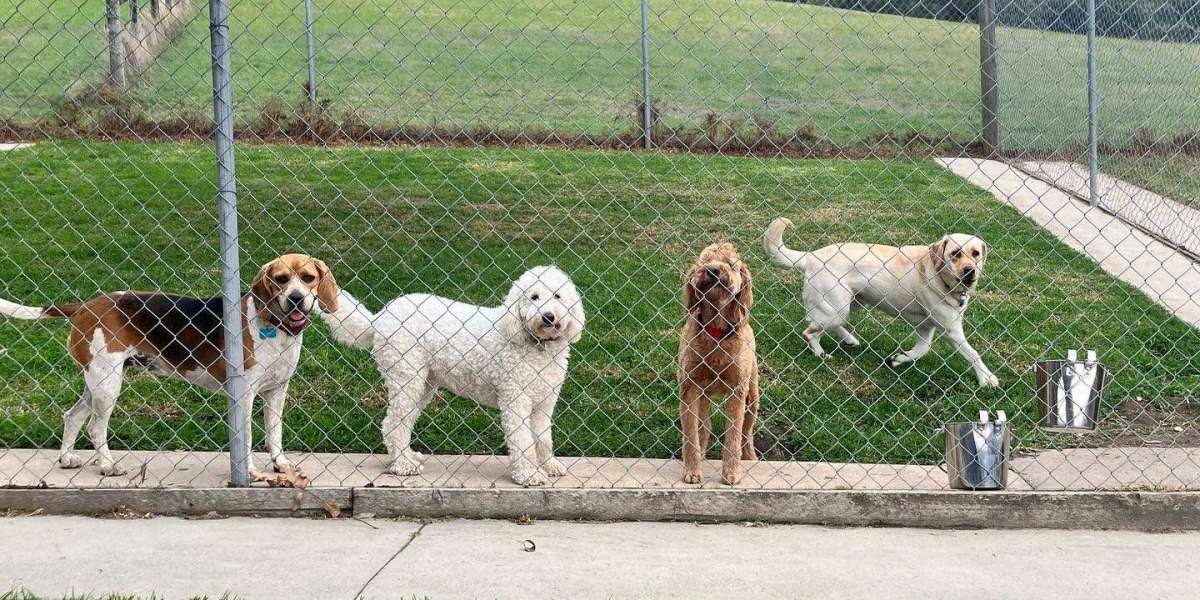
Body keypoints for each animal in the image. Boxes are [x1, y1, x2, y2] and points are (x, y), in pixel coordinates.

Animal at [316, 267, 583, 487]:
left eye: (557, 296)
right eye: (534, 297)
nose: (548, 316)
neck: (534, 344)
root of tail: (379, 319)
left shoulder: (544, 402)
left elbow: (543, 438)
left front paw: (549, 465)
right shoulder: (515, 400)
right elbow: (523, 440)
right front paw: (529, 474)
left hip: (423, 385)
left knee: (401, 423)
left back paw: (407, 456)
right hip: (406, 378)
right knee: (394, 423)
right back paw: (403, 465)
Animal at [676, 240, 758, 482]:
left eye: (731, 264)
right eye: (704, 261)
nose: (712, 270)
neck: (716, 333)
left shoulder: (737, 391)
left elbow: (733, 436)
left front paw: (732, 472)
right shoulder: (689, 388)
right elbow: (691, 435)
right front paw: (692, 470)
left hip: (753, 397)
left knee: (746, 432)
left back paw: (750, 457)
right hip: (703, 397)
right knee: (704, 427)